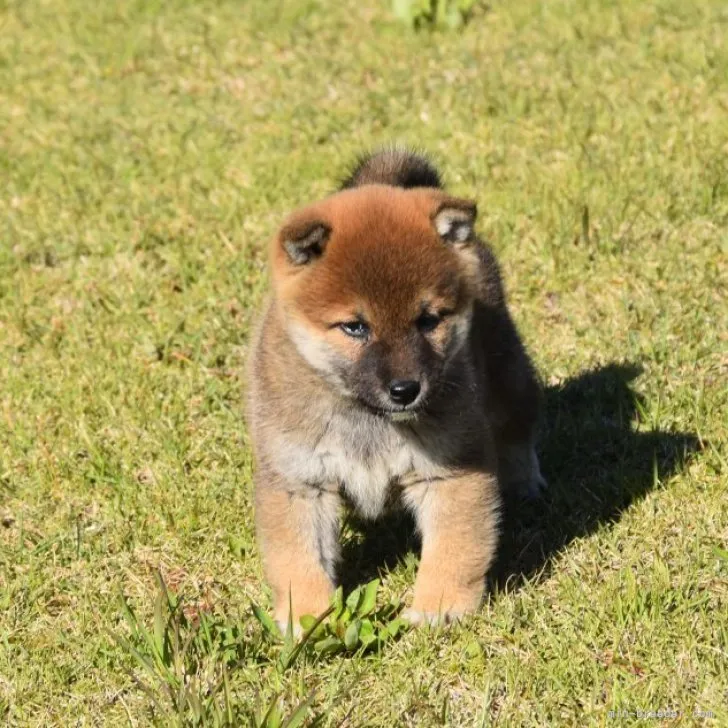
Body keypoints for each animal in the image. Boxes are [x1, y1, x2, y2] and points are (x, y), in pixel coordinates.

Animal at [247, 145, 544, 628]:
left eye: (428, 320)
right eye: (355, 326)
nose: (406, 390)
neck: (366, 419)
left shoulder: (452, 469)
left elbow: (454, 550)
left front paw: (439, 608)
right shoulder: (299, 480)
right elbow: (298, 560)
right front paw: (307, 618)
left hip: (508, 377)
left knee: (519, 430)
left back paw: (524, 482)